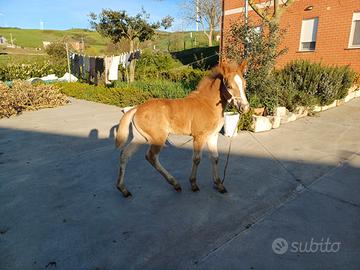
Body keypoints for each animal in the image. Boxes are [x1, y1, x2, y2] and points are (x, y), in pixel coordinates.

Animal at [116, 60, 250, 196]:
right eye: (229, 86)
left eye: (245, 85)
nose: (245, 107)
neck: (208, 104)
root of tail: (137, 108)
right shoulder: (199, 136)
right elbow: (197, 159)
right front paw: (193, 184)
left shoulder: (213, 135)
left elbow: (215, 158)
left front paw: (219, 185)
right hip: (158, 137)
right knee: (151, 157)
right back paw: (175, 184)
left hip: (140, 137)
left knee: (125, 154)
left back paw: (123, 189)